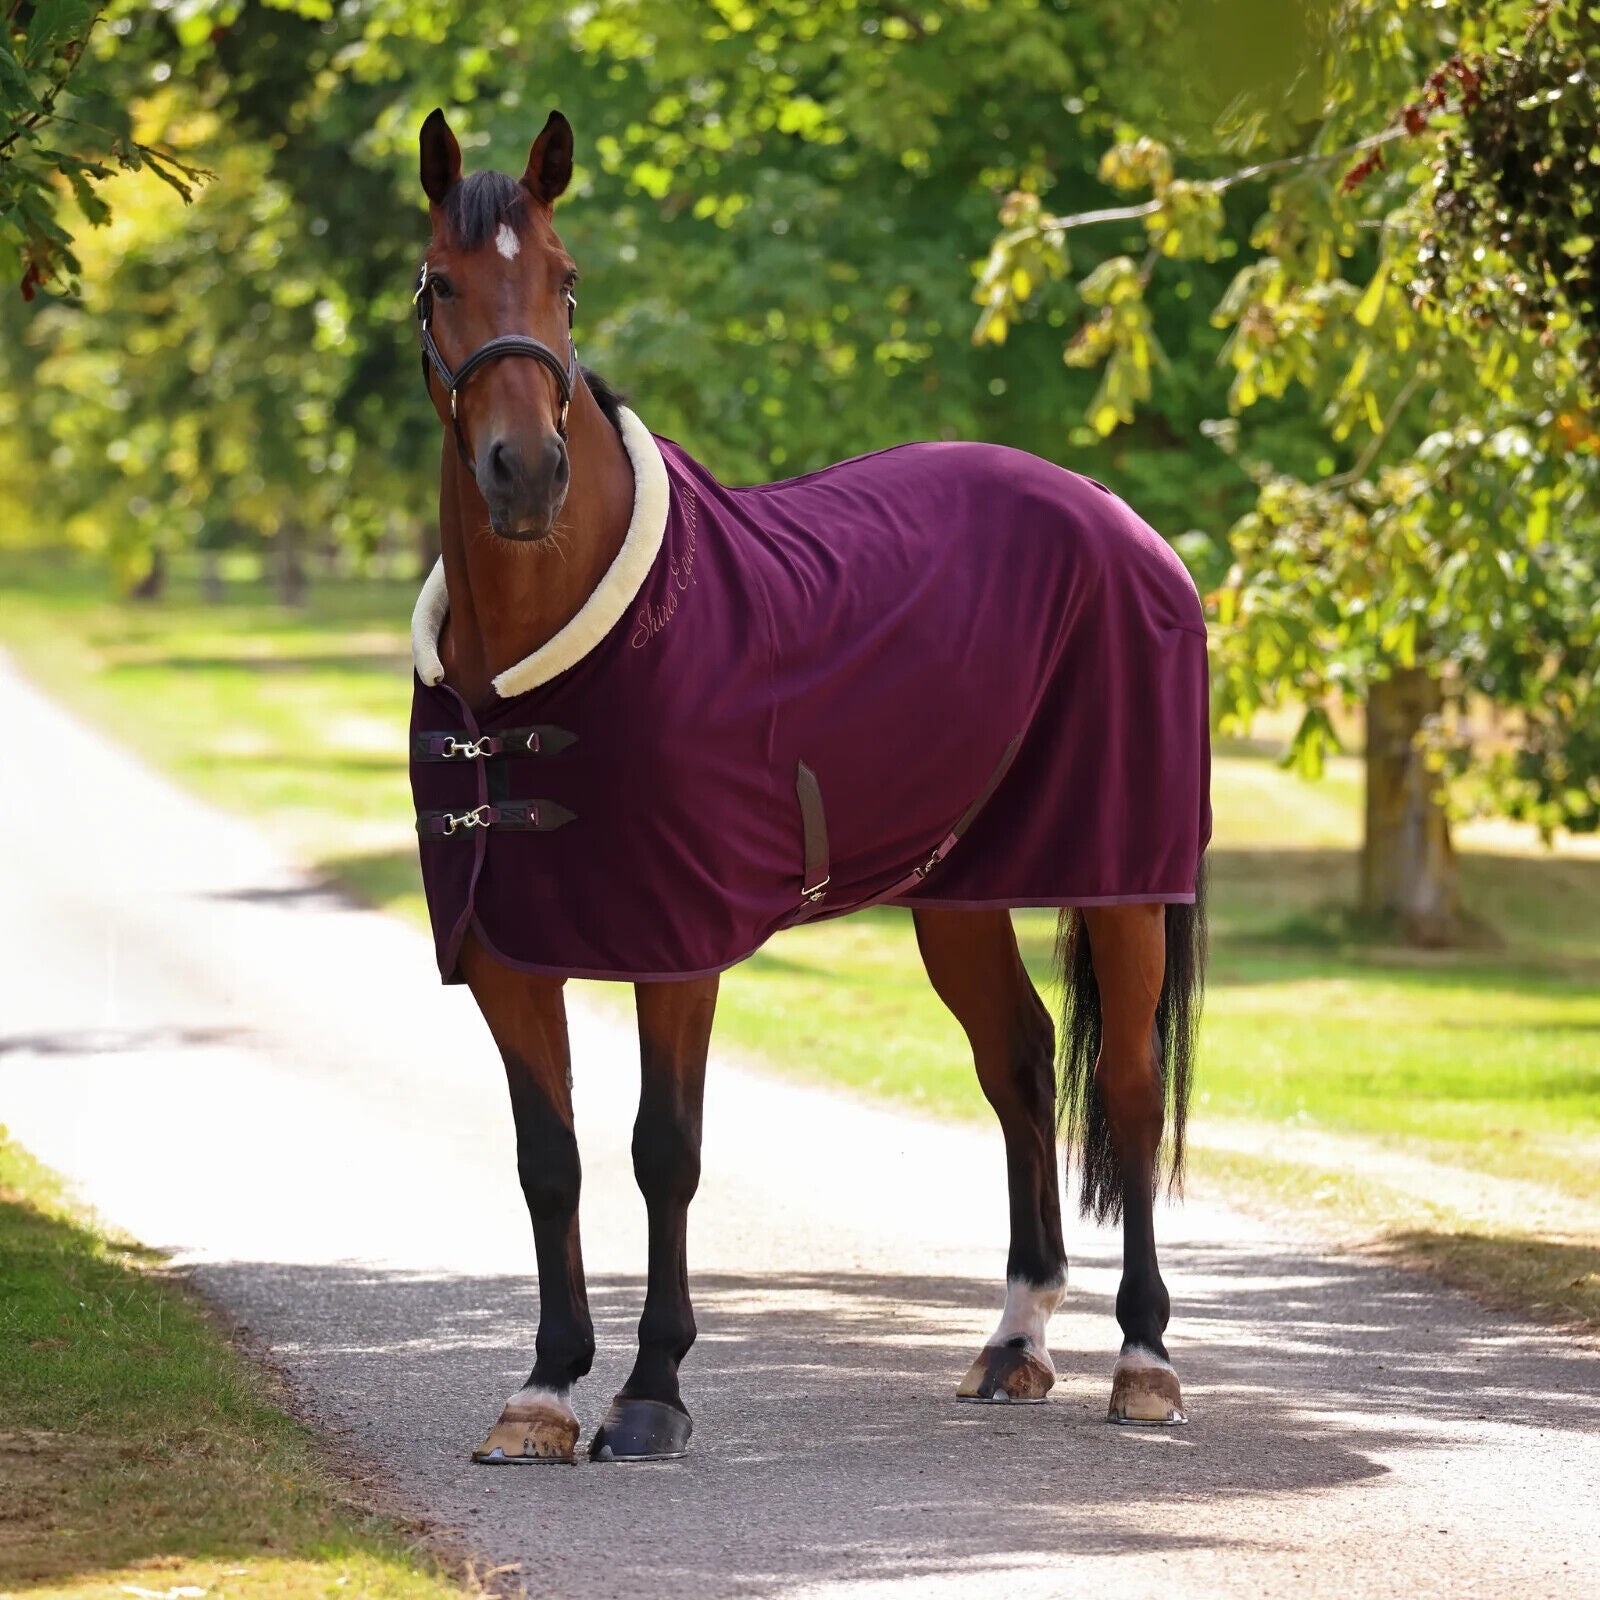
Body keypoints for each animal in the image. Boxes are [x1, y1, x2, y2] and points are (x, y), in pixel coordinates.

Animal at [406, 107, 1210, 1465]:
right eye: (439, 283)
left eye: (565, 280)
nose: (525, 474)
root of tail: (1115, 512)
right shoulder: (508, 952)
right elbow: (548, 1160)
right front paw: (544, 1389)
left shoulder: (677, 950)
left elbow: (662, 1153)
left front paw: (649, 1392)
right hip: (958, 893)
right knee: (1020, 1062)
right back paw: (1015, 1341)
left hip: (1120, 879)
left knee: (1130, 1091)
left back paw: (1144, 1362)